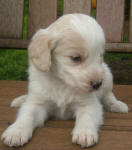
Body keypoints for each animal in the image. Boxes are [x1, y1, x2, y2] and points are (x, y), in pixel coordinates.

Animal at [1, 13, 129, 148]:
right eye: (76, 58)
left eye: (100, 56)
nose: (97, 84)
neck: (62, 83)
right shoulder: (37, 103)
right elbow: (27, 115)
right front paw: (15, 132)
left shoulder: (88, 104)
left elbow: (86, 117)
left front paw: (84, 133)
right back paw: (21, 100)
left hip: (108, 76)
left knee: (108, 96)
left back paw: (117, 105)